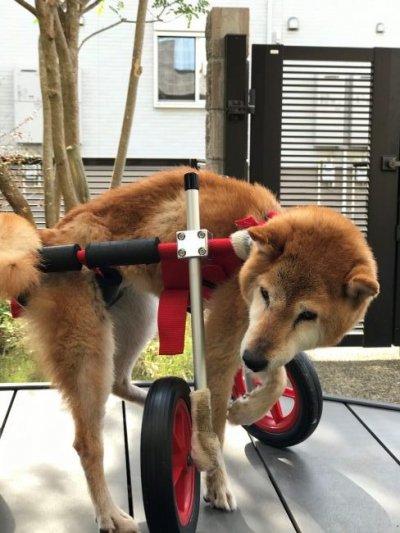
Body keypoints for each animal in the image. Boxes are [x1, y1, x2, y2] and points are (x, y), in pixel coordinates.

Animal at [0, 167, 378, 532]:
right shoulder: (226, 341)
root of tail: (49, 239)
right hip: (88, 350)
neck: (247, 245)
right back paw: (110, 511)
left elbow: (278, 376)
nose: (252, 359)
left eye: (307, 315)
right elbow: (219, 426)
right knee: (88, 443)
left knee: (120, 382)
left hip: (137, 318)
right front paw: (216, 480)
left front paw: (247, 407)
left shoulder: (255, 341)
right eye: (266, 294)